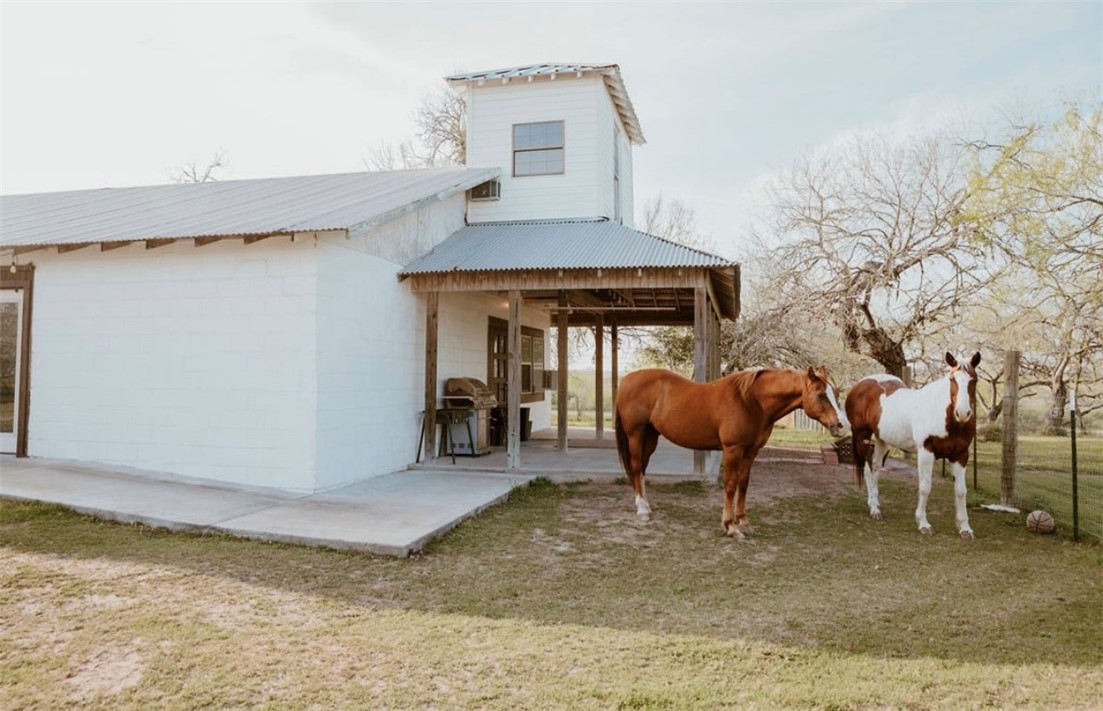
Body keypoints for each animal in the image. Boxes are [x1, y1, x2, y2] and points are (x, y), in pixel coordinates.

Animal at [617, 365, 847, 537]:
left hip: (650, 437)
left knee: (642, 469)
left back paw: (647, 506)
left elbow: (743, 484)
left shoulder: (751, 452)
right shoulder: (732, 450)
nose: (842, 425)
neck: (750, 401)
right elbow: (730, 486)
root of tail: (626, 379)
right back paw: (642, 510)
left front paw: (744, 522)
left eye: (835, 394)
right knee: (636, 467)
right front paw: (730, 526)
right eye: (820, 394)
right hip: (636, 434)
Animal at [842, 348, 983, 537]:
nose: (962, 413)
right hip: (862, 436)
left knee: (875, 466)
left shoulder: (960, 455)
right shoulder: (926, 452)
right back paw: (874, 510)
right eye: (952, 379)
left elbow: (961, 491)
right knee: (867, 468)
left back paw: (876, 504)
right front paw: (923, 523)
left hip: (882, 439)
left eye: (973, 380)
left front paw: (965, 528)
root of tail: (860, 384)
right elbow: (925, 487)